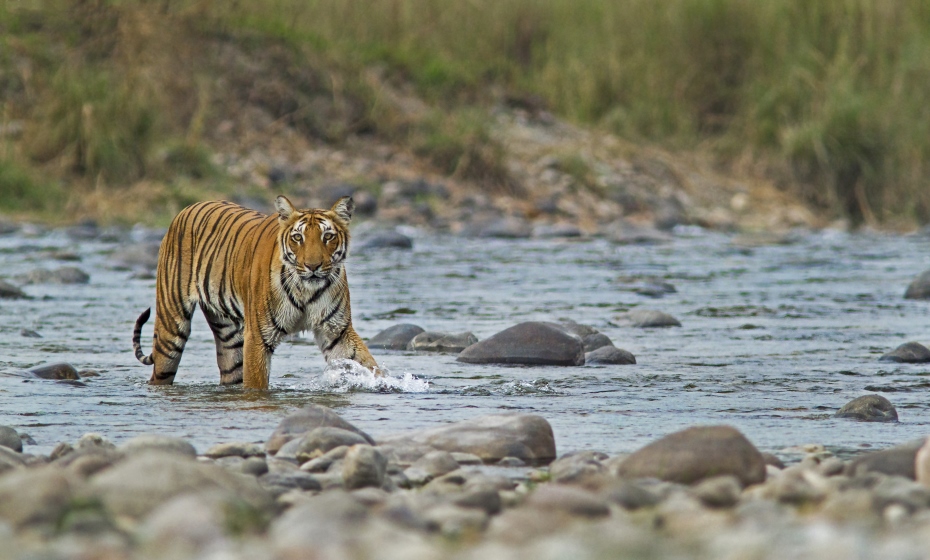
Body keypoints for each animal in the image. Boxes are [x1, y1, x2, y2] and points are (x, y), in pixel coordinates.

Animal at [130, 197, 376, 390]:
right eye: (298, 238)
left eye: (328, 237)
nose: (313, 266)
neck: (306, 289)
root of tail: (186, 208)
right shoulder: (258, 337)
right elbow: (257, 384)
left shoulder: (337, 331)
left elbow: (367, 363)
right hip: (171, 328)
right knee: (161, 371)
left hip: (229, 339)